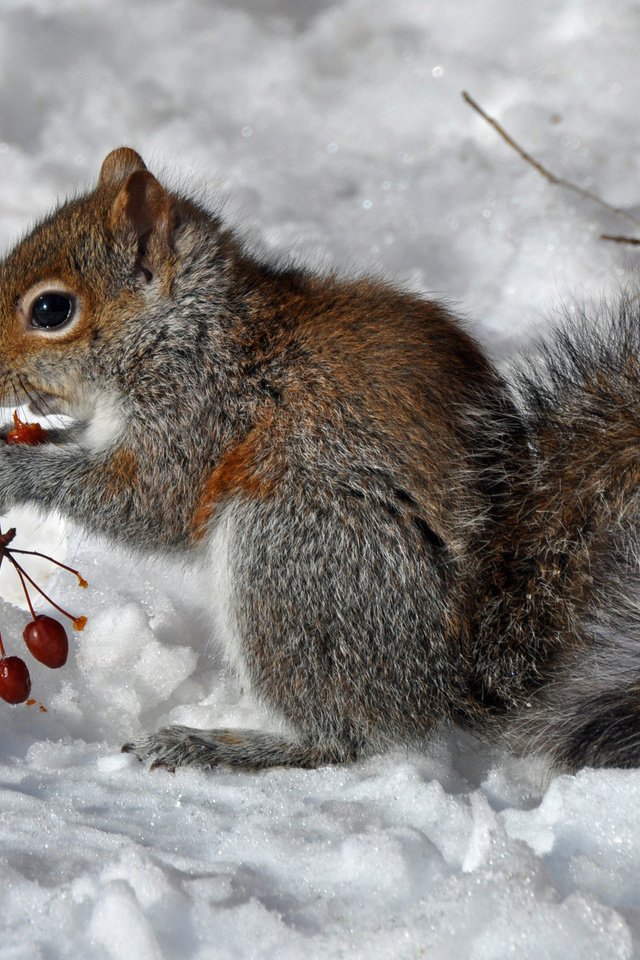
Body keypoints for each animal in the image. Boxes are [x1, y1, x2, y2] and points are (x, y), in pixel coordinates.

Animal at [1, 144, 640, 772]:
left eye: (52, 310)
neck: (186, 330)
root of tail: (451, 679)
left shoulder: (198, 412)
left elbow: (146, 503)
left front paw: (13, 470)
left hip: (293, 553)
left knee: (343, 738)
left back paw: (219, 746)